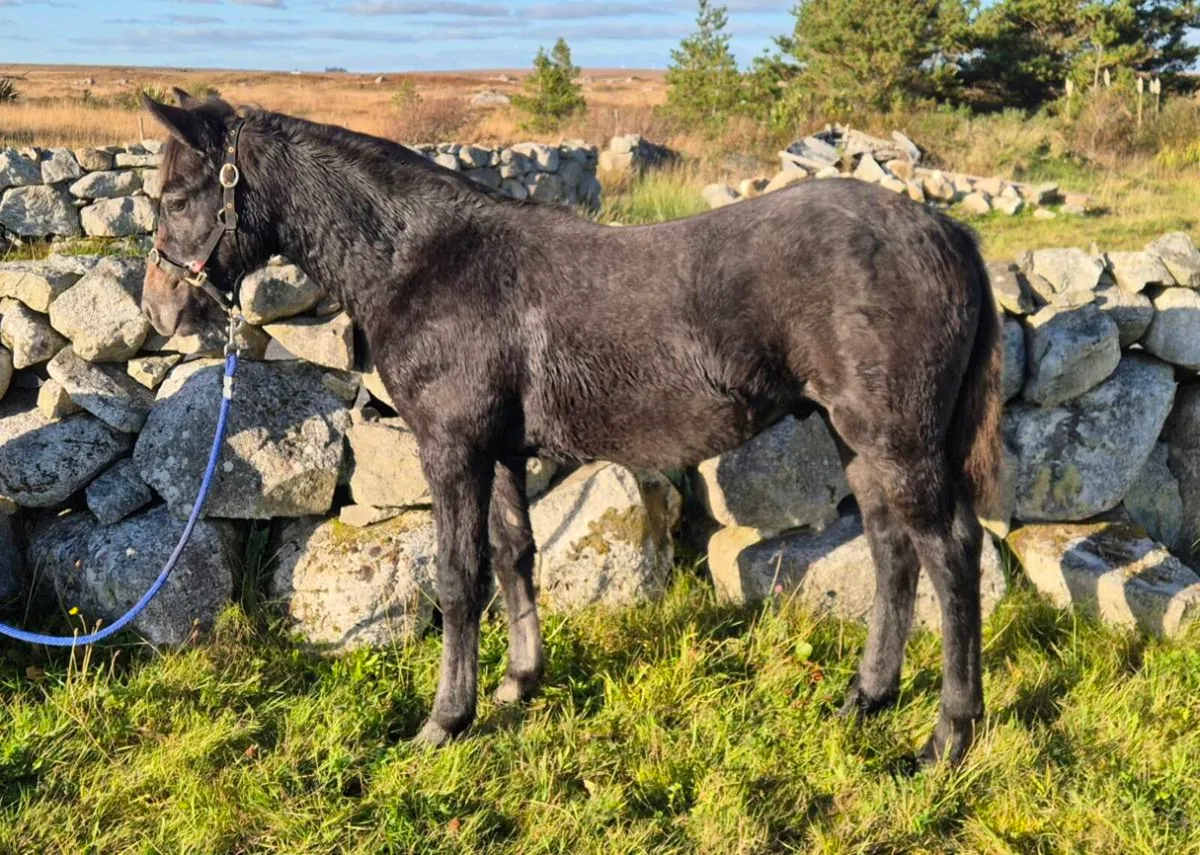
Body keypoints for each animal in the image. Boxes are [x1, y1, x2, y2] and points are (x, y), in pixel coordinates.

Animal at [139, 90, 1002, 767]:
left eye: (177, 198)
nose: (159, 308)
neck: (424, 260)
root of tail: (951, 235)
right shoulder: (500, 452)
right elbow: (515, 556)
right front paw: (519, 683)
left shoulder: (452, 450)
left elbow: (458, 578)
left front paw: (444, 720)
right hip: (856, 440)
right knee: (893, 552)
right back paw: (866, 696)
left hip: (898, 443)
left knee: (950, 555)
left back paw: (947, 737)